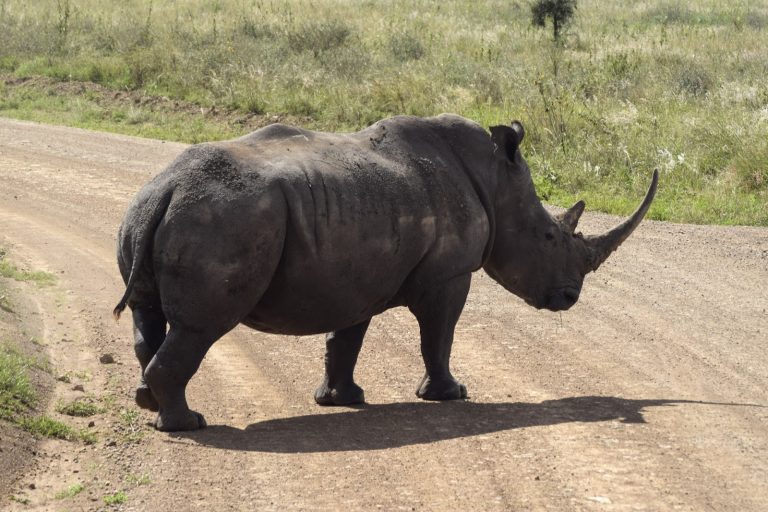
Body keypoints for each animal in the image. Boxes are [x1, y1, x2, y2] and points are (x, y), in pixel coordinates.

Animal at [115, 114, 657, 431]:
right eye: (548, 237)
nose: (570, 298)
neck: (494, 180)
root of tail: (167, 189)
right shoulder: (447, 276)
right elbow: (439, 334)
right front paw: (450, 395)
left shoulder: (351, 272)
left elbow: (346, 337)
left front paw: (343, 401)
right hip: (223, 220)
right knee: (201, 327)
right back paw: (188, 424)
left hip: (146, 212)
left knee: (149, 315)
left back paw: (152, 405)